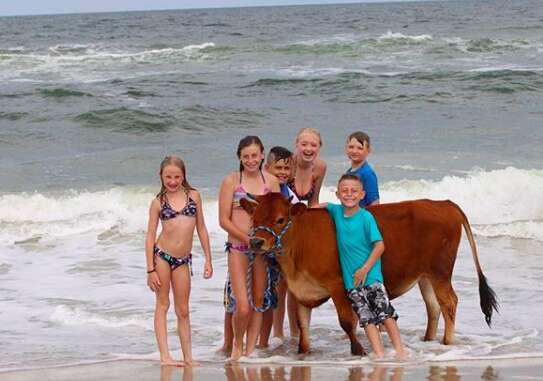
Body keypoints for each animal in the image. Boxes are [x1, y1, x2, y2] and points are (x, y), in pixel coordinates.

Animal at [241, 194, 498, 354]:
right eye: (254, 218)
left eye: (280, 219)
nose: (256, 242)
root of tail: (444, 203)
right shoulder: (301, 290)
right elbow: (302, 325)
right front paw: (303, 353)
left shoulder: (338, 285)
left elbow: (346, 322)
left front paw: (358, 351)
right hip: (425, 276)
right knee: (433, 306)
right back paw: (429, 340)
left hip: (440, 272)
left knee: (449, 302)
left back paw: (447, 342)